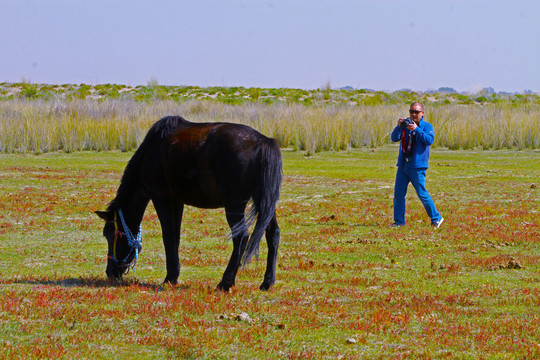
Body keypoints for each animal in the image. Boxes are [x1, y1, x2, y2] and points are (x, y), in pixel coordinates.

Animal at [96, 116, 282, 292]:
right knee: (273, 233)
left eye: (109, 234)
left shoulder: (161, 198)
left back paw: (225, 282)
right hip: (265, 204)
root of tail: (264, 142)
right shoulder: (177, 201)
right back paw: (267, 282)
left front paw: (170, 278)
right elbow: (175, 237)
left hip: (234, 205)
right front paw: (174, 275)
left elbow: (168, 235)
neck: (150, 153)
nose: (110, 272)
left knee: (241, 236)